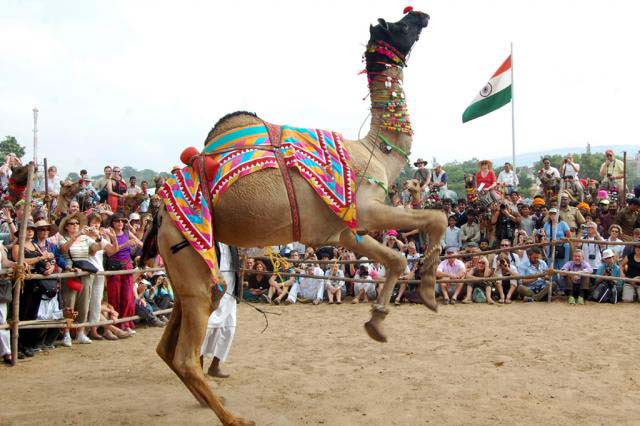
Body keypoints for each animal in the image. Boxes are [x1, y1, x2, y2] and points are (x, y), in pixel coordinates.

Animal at [140, 8, 442, 424]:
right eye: (400, 26)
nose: (424, 16)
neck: (376, 151)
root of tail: (161, 211)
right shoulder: (366, 206)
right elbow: (437, 218)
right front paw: (427, 292)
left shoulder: (343, 230)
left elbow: (395, 257)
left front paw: (377, 322)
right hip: (191, 254)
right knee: (186, 351)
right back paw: (235, 418)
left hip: (180, 264)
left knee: (167, 344)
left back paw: (207, 399)